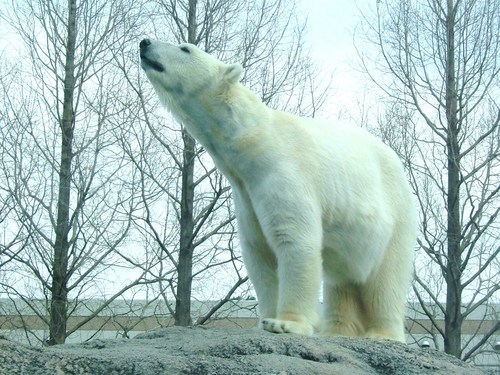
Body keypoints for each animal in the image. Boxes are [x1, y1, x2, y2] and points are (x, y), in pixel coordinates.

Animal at [139, 39, 416, 344]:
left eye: (185, 49)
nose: (145, 42)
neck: (255, 142)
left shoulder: (284, 175)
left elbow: (294, 240)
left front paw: (285, 323)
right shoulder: (246, 195)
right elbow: (258, 252)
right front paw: (264, 321)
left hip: (396, 216)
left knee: (386, 278)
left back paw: (383, 334)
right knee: (342, 281)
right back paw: (336, 331)